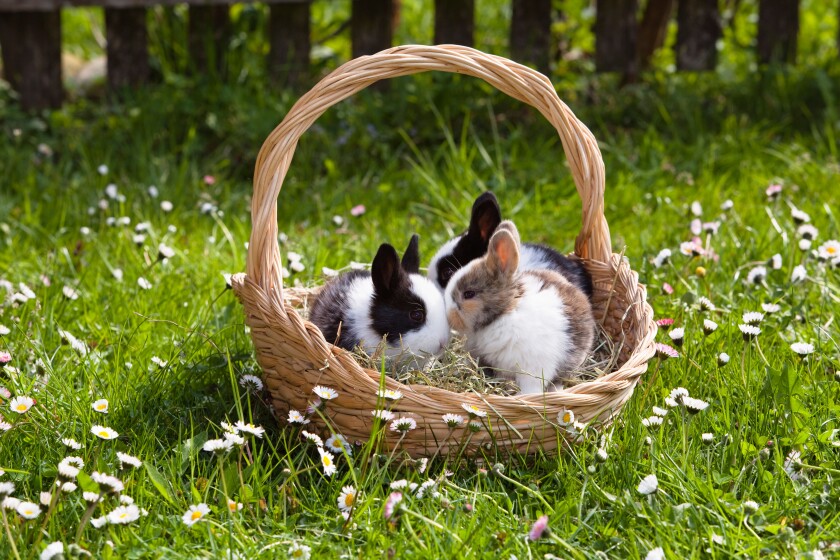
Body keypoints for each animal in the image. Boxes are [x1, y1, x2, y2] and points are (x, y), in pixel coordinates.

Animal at [444, 221, 596, 394]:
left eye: (469, 294)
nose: (448, 316)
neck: (504, 313)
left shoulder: (532, 367)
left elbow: (531, 386)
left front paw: (523, 396)